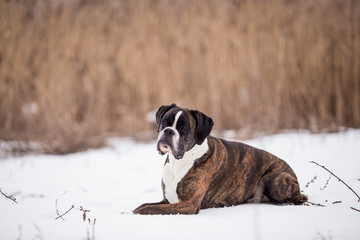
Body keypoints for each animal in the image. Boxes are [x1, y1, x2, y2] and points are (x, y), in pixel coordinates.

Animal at [134, 104, 308, 215]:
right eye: (164, 122)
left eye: (184, 128)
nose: (168, 131)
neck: (180, 161)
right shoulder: (168, 200)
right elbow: (146, 204)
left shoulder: (188, 204)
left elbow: (148, 209)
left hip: (275, 180)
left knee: (299, 197)